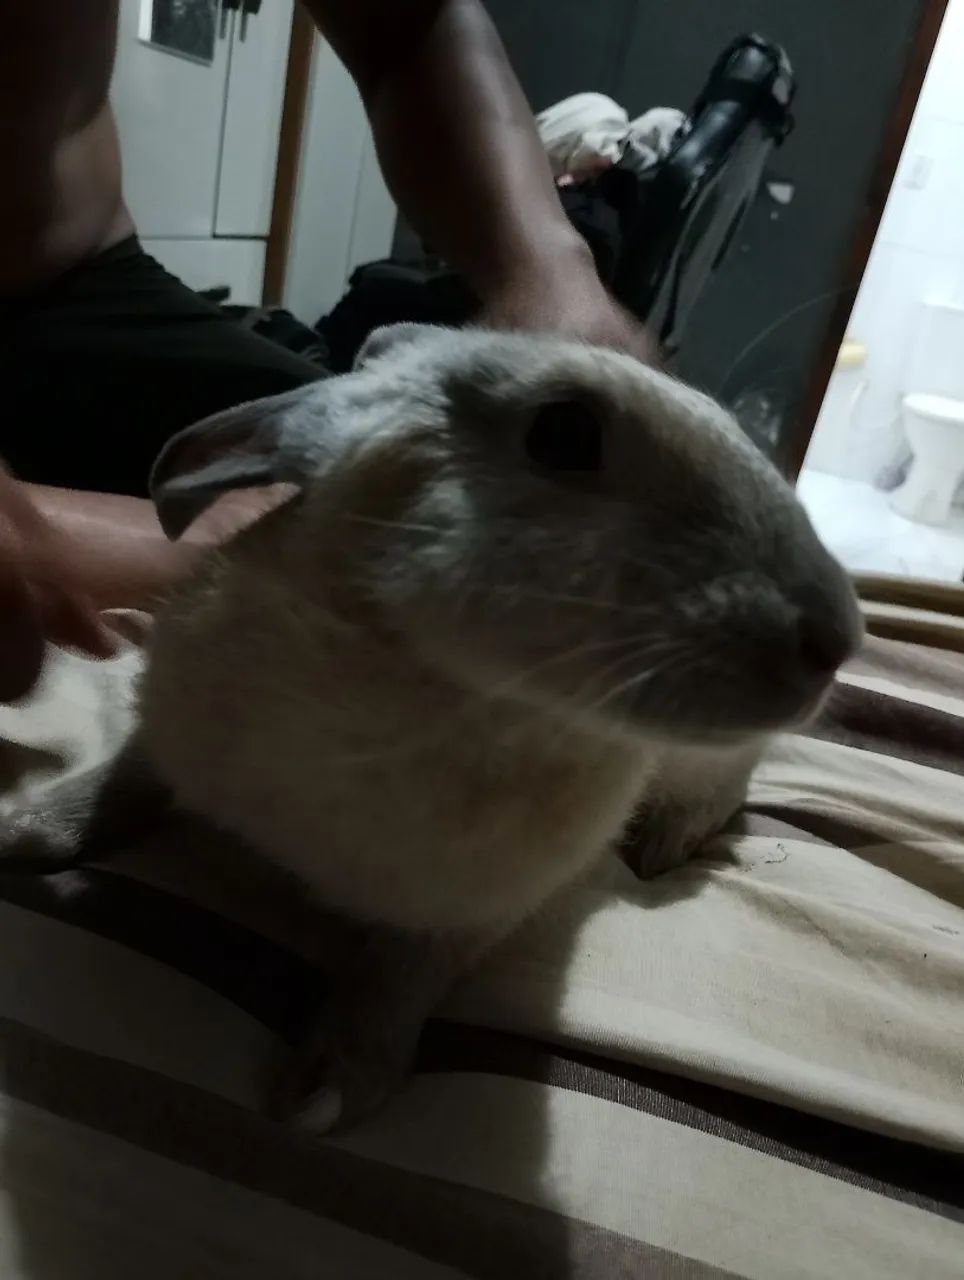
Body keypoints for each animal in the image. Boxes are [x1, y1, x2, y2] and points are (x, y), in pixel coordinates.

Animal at [0, 323, 862, 1130]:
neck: (445, 693)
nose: (837, 640)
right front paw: (26, 832)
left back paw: (665, 844)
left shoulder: (466, 915)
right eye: (564, 434)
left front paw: (327, 1095)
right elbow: (130, 777)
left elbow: (398, 979)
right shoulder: (172, 740)